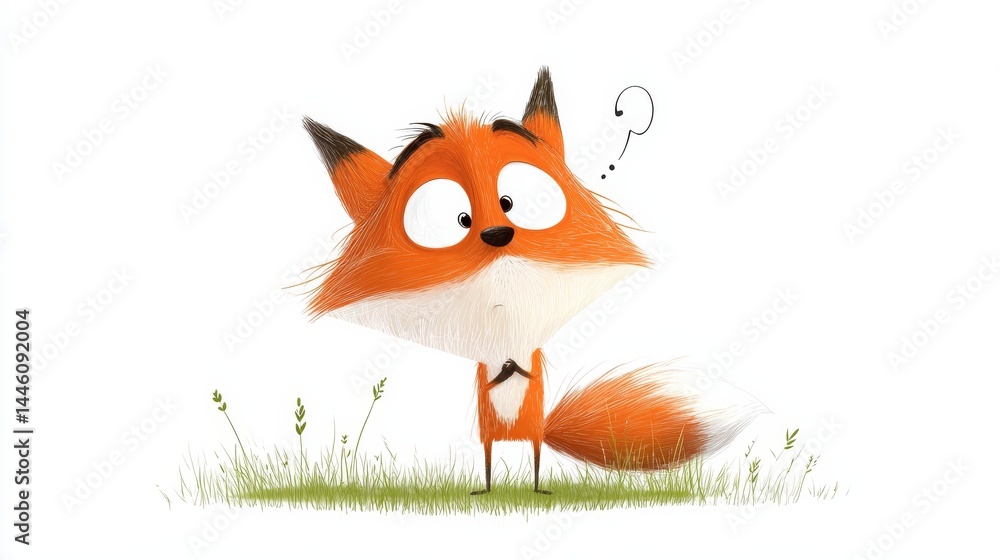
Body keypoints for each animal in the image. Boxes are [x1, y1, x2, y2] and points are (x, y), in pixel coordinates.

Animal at [301, 67, 764, 494]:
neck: (505, 332)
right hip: (492, 437)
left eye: (509, 201)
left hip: (535, 434)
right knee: (491, 458)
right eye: (460, 218)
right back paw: (488, 489)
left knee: (538, 454)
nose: (497, 235)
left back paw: (539, 487)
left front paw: (516, 373)